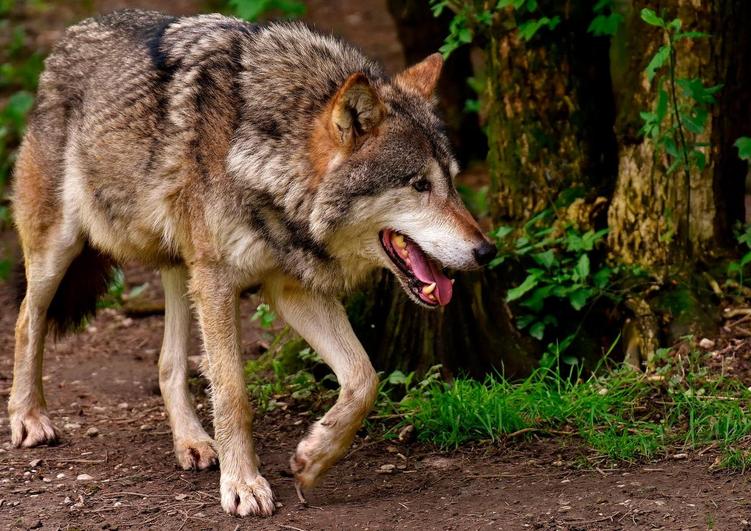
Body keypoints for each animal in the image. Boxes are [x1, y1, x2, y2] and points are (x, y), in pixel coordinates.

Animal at [8, 10, 500, 516]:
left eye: (453, 182)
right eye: (419, 185)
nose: (487, 251)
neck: (266, 158)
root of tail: (70, 35)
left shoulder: (291, 289)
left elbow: (365, 379)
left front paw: (313, 458)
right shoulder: (220, 282)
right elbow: (233, 393)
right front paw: (243, 484)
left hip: (182, 269)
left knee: (168, 363)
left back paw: (193, 443)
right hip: (60, 251)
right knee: (27, 320)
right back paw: (29, 418)